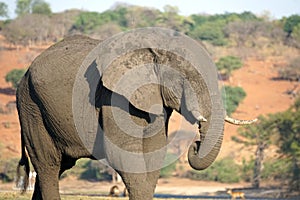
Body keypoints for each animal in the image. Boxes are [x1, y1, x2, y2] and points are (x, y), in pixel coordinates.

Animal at [16, 30, 255, 198]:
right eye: (185, 78)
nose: (194, 145)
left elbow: (154, 153)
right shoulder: (113, 96)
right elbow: (125, 153)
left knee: (58, 167)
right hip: (31, 107)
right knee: (48, 165)